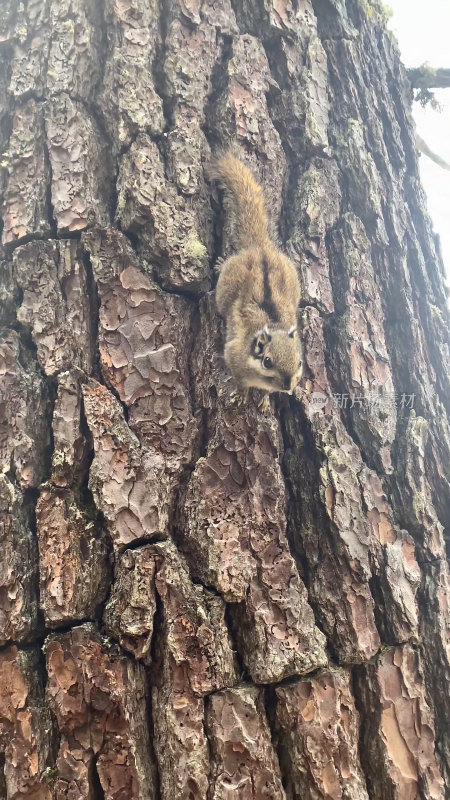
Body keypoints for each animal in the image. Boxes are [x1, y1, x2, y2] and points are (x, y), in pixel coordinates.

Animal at [210, 153, 302, 410]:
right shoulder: (234, 355)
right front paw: (243, 395)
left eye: (300, 363)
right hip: (225, 289)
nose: (288, 386)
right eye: (267, 362)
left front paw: (263, 399)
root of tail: (260, 248)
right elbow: (239, 380)